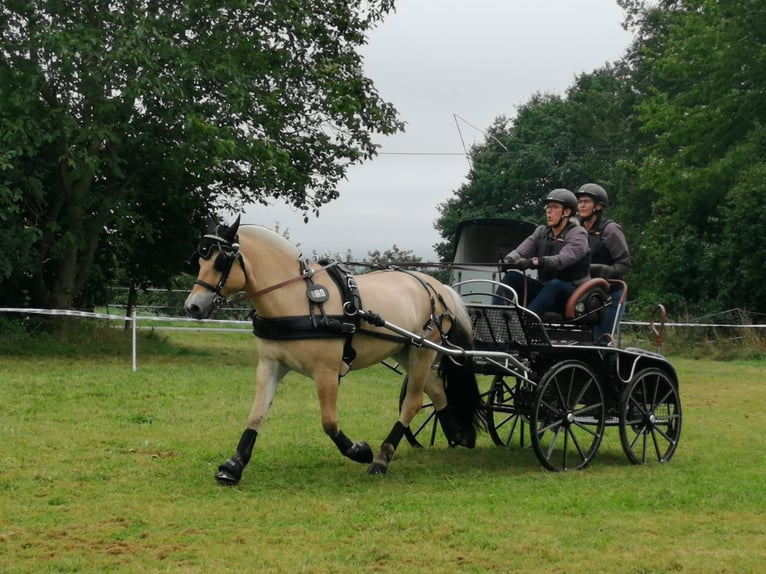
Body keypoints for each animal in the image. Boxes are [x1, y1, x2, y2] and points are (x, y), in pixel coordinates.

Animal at [184, 216, 486, 486]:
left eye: (220, 261)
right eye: (199, 260)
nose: (193, 307)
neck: (296, 300)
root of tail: (436, 286)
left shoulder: (326, 372)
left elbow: (329, 422)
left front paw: (360, 451)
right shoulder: (270, 365)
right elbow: (256, 414)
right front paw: (233, 466)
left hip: (422, 350)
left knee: (412, 402)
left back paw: (382, 457)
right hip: (405, 349)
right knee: (436, 390)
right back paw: (458, 433)